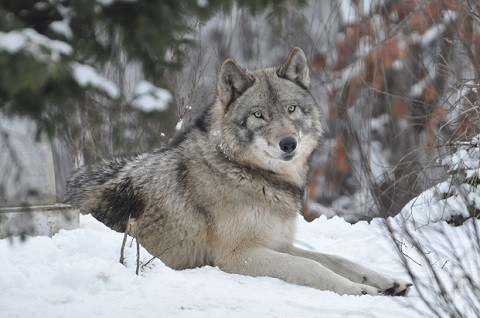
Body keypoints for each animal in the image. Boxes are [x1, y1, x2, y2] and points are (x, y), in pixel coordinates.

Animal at [64, 48, 412, 296]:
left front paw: (387, 280)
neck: (245, 171)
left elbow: (338, 260)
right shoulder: (238, 256)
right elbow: (313, 268)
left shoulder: (278, 244)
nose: (289, 144)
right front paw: (360, 290)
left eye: (291, 109)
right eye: (259, 115)